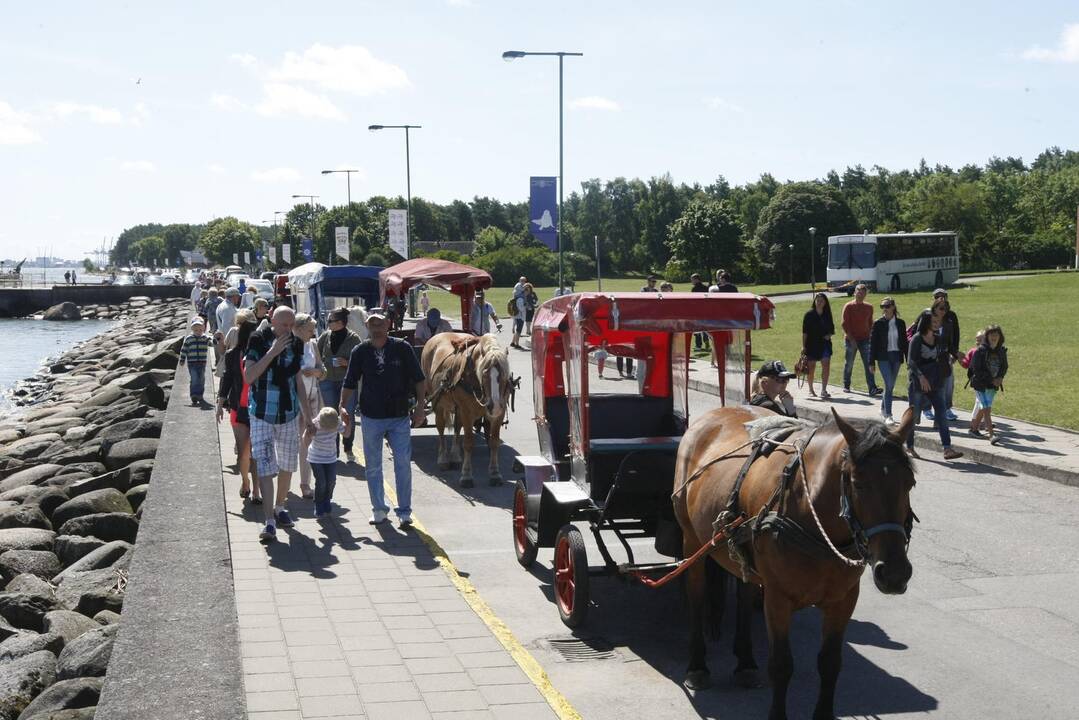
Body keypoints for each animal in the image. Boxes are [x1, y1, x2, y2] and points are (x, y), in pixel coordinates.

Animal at [418, 334, 515, 490]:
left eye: (505, 376)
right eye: (485, 374)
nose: (494, 406)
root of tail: (436, 336)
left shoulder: (497, 415)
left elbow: (494, 442)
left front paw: (495, 474)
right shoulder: (467, 413)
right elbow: (468, 443)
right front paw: (466, 476)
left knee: (457, 428)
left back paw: (455, 456)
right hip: (438, 402)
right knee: (441, 429)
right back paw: (443, 459)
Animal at [673, 405, 919, 720]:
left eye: (909, 483)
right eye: (858, 483)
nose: (895, 574)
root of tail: (712, 414)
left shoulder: (843, 600)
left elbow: (830, 662)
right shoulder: (778, 599)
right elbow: (781, 665)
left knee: (745, 597)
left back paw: (745, 661)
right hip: (692, 541)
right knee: (696, 596)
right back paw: (697, 666)